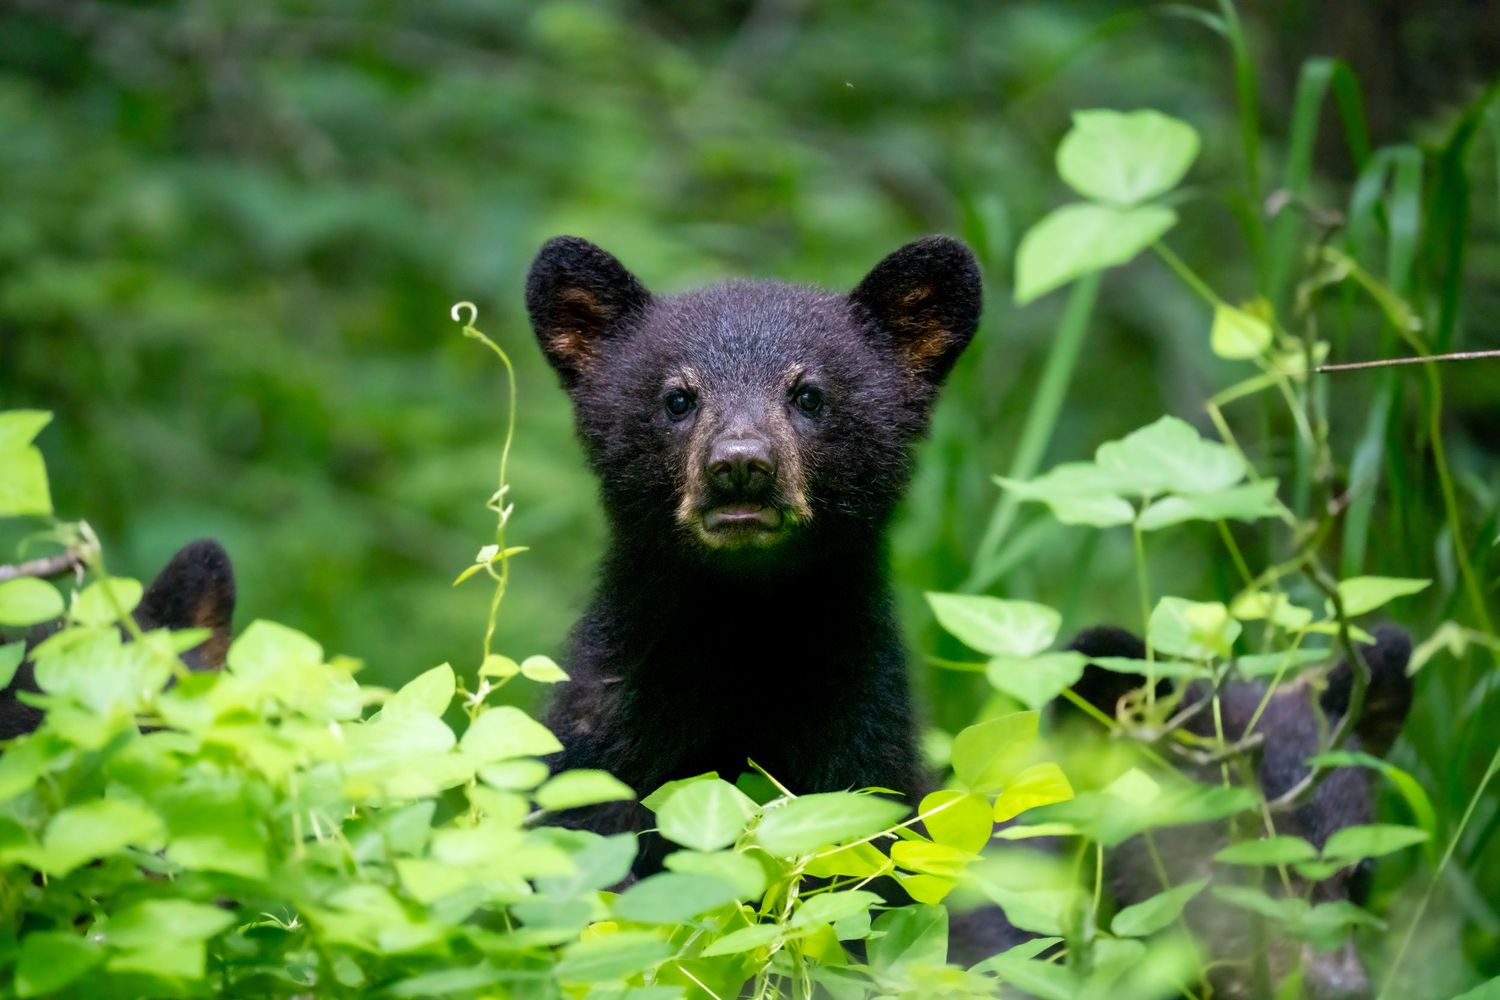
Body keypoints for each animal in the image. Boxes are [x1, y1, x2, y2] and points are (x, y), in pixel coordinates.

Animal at [524, 234, 981, 873]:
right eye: (678, 398)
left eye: (809, 395)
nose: (740, 463)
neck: (743, 624)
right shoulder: (605, 736)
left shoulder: (859, 734)